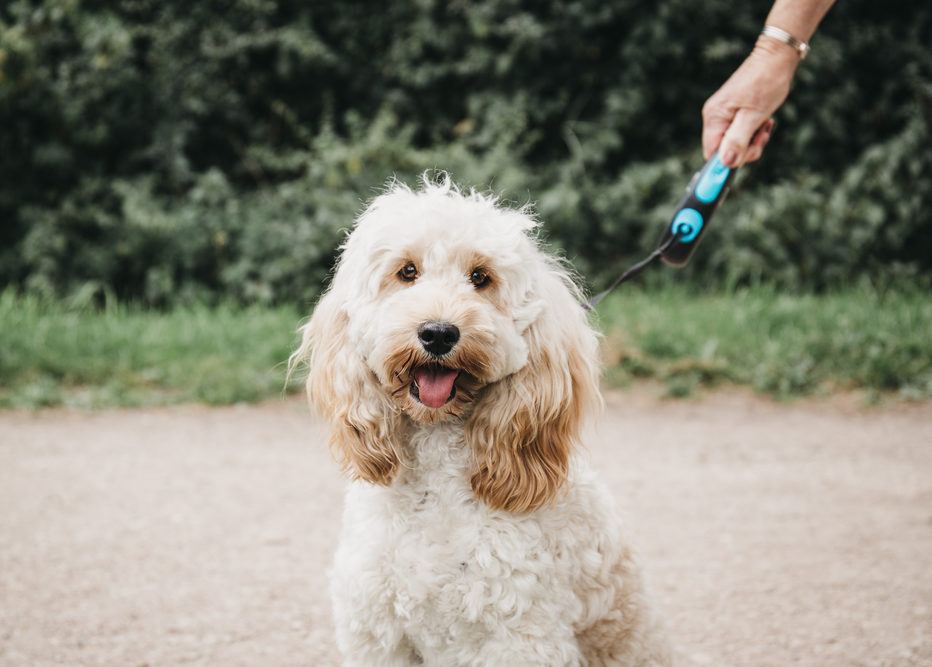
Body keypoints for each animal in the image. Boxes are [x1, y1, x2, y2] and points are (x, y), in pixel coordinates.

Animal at [294, 175, 668, 664]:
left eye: (480, 277)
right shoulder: (379, 635)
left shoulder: (522, 639)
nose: (438, 333)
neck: (436, 485)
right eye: (407, 272)